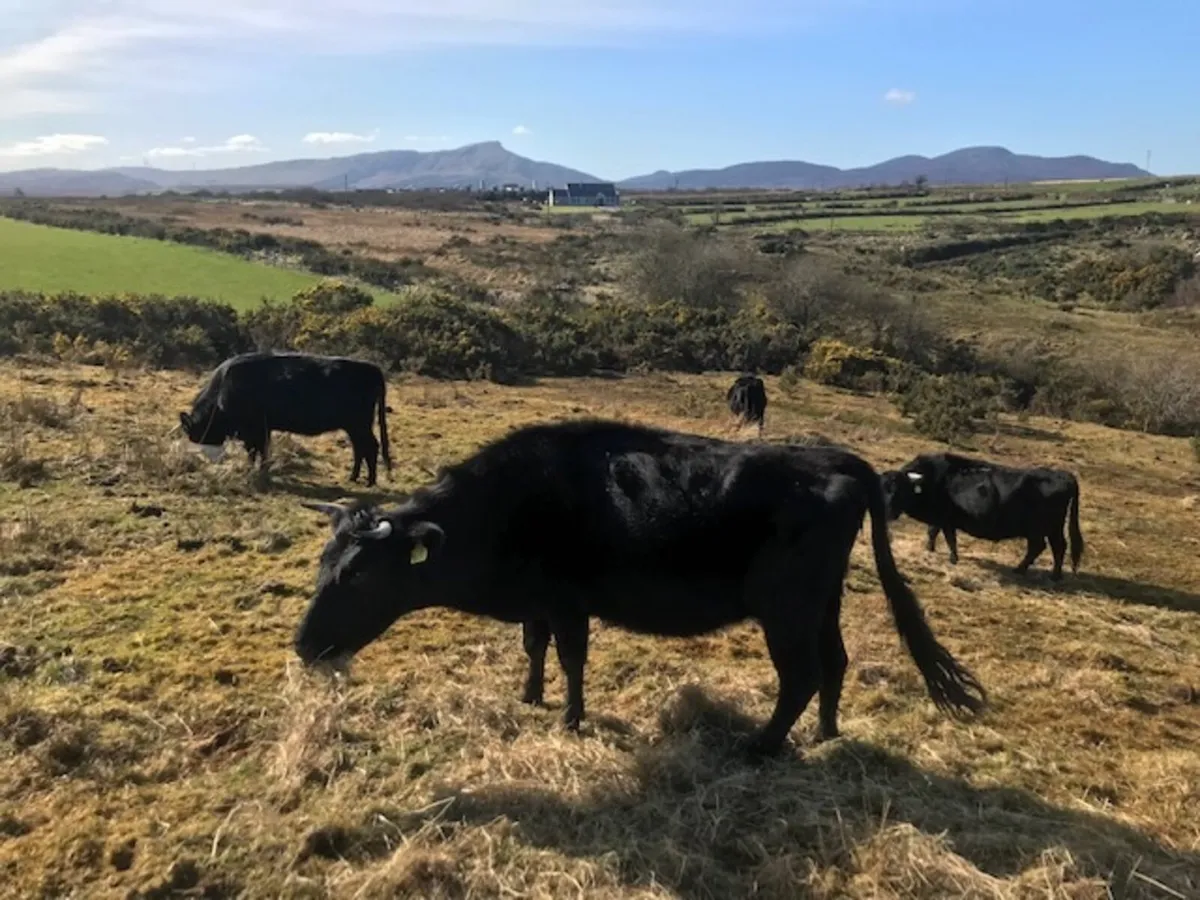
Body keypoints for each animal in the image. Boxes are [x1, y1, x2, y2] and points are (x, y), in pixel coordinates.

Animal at [178, 351, 392, 486]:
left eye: (197, 432)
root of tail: (373, 369)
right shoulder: (262, 430)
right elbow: (260, 451)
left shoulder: (253, 430)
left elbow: (255, 451)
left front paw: (255, 471)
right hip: (354, 426)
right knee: (360, 448)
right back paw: (353, 478)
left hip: (359, 424)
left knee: (370, 447)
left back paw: (370, 481)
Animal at [293, 419, 985, 758]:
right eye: (323, 565)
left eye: (358, 574)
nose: (302, 646)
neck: (507, 505)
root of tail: (837, 459)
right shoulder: (537, 602)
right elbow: (534, 647)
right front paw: (529, 695)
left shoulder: (568, 600)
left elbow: (571, 658)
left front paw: (570, 718)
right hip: (824, 600)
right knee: (836, 663)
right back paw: (826, 736)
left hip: (785, 607)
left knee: (802, 675)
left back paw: (760, 748)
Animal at [879, 452, 1084, 581]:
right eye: (881, 488)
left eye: (901, 490)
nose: (888, 512)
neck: (932, 480)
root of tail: (1063, 475)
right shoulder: (939, 519)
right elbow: (933, 532)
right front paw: (930, 549)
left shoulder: (946, 519)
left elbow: (949, 538)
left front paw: (953, 558)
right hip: (1049, 529)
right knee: (1053, 547)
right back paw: (1045, 573)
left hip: (1042, 528)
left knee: (1046, 547)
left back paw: (1033, 572)